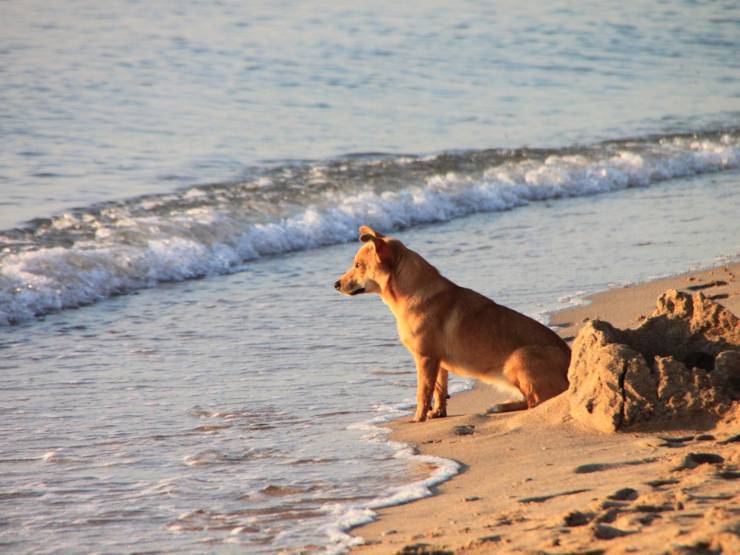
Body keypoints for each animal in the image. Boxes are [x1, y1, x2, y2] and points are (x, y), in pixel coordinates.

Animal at [336, 226, 572, 422]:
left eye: (358, 266)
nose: (335, 284)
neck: (412, 292)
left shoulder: (426, 358)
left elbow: (423, 391)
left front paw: (418, 417)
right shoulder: (437, 361)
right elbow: (439, 389)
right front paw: (438, 412)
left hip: (518, 359)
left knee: (537, 402)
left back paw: (503, 407)